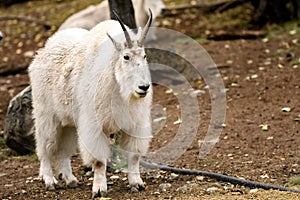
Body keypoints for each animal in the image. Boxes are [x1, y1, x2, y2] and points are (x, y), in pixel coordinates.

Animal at [28, 10, 152, 197]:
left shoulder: (135, 124)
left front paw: (136, 183)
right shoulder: (94, 125)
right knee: (45, 148)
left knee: (63, 150)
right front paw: (99, 190)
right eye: (126, 56)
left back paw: (70, 180)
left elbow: (134, 156)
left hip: (69, 123)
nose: (144, 87)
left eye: (144, 56)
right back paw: (49, 180)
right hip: (46, 115)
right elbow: (99, 161)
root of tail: (41, 53)